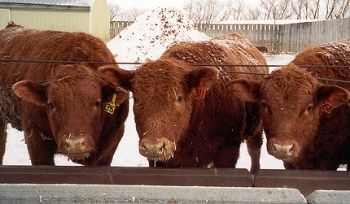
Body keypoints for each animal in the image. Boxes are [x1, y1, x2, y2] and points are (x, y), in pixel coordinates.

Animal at [98, 33, 268, 174]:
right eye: (137, 98)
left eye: (179, 98)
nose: (154, 147)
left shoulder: (228, 151)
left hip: (257, 129)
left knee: (255, 150)